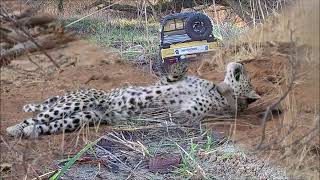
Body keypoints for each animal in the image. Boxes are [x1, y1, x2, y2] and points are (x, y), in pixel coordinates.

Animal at [5, 62, 260, 138]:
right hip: (76, 103)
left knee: (47, 123)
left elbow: (172, 114)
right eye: (247, 75)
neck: (218, 89)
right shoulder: (162, 84)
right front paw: (179, 64)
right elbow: (169, 77)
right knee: (40, 114)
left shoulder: (185, 115)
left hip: (84, 116)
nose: (239, 64)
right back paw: (16, 127)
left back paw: (21, 130)